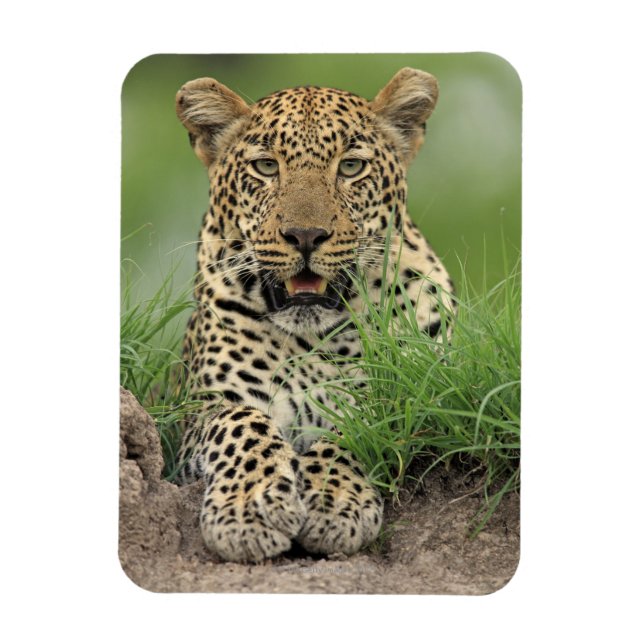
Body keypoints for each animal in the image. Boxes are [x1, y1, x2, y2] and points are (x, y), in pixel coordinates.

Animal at [173, 67, 455, 563]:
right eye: (267, 167)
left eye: (351, 167)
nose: (305, 235)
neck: (317, 340)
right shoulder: (200, 413)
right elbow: (242, 423)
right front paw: (248, 509)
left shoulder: (419, 394)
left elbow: (359, 424)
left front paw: (335, 502)